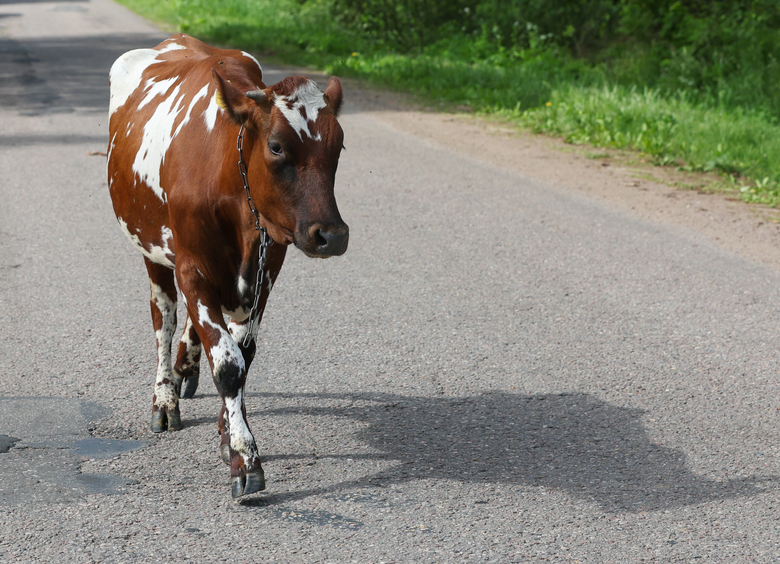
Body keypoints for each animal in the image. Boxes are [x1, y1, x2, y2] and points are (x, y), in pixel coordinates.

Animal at [107, 34, 349, 498]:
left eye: (339, 146)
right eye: (276, 145)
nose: (332, 234)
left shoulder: (265, 272)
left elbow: (243, 354)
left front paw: (227, 432)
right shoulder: (191, 268)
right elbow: (228, 364)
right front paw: (244, 457)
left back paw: (186, 364)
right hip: (151, 248)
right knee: (164, 317)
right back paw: (165, 397)